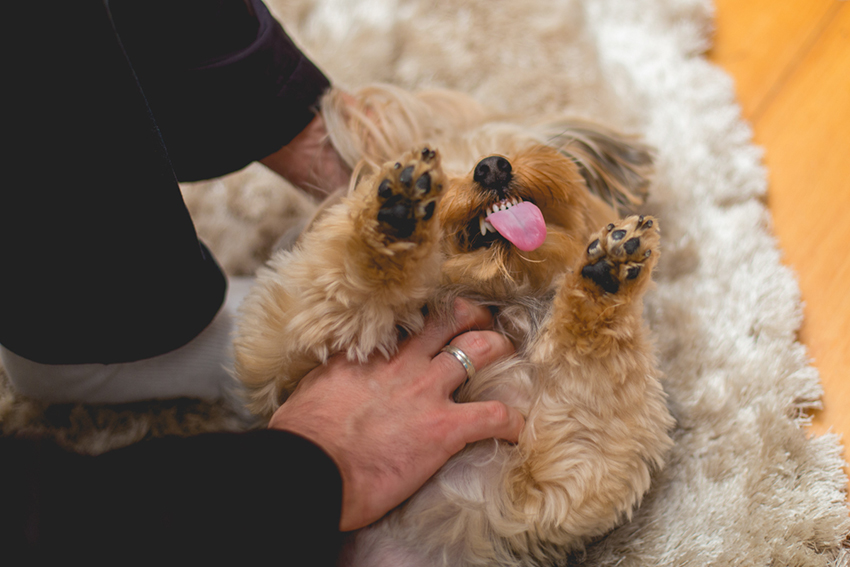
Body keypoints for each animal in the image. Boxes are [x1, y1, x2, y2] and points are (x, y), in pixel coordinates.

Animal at [235, 85, 672, 567]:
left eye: (512, 149)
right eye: (447, 172)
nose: (492, 166)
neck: (500, 296)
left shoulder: (553, 485)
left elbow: (593, 375)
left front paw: (609, 271)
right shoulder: (276, 350)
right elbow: (339, 282)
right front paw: (393, 213)